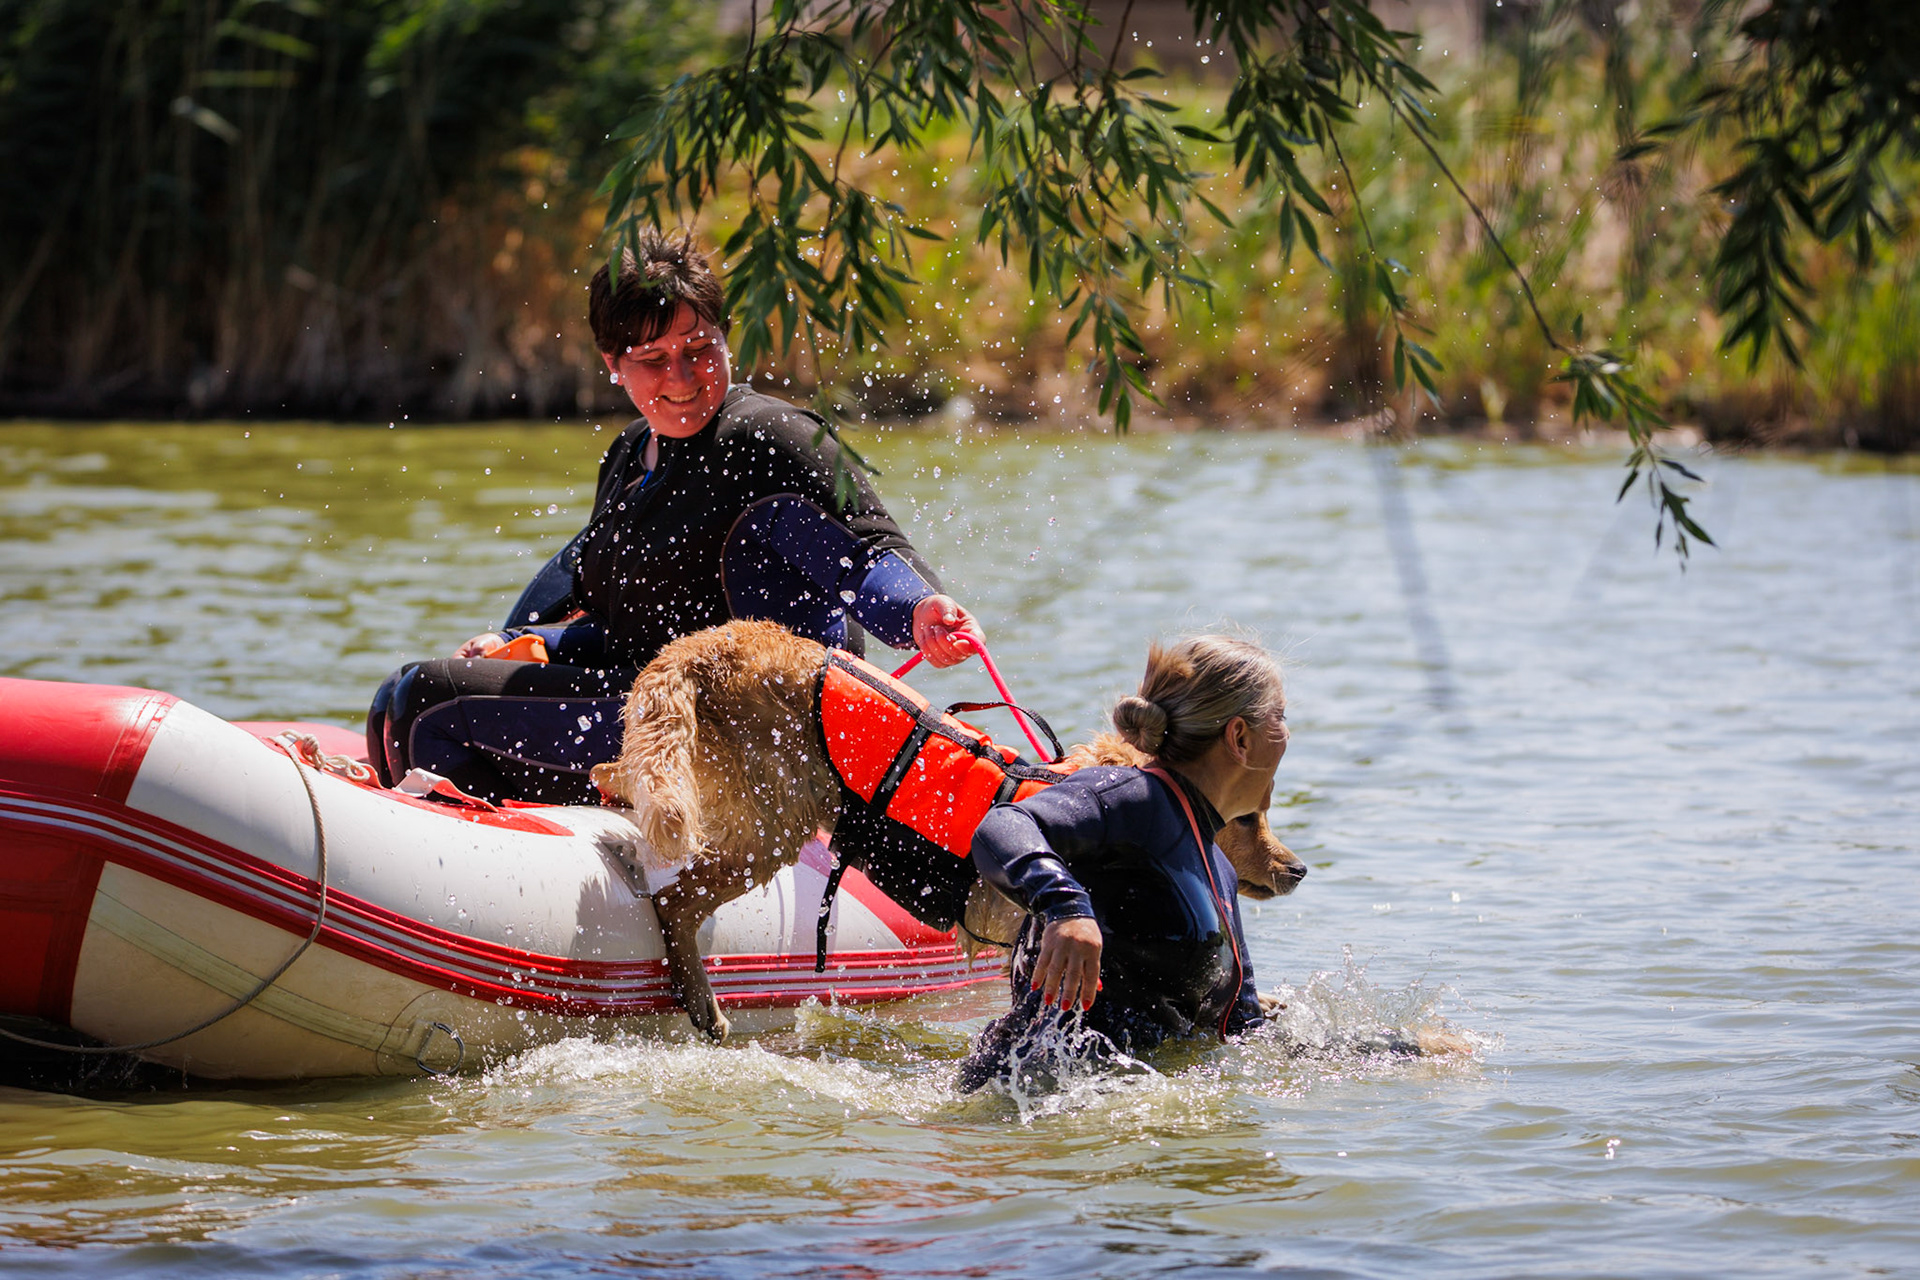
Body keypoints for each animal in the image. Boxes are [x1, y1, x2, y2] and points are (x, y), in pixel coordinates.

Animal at [590, 620, 1308, 1040]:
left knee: (621, 778)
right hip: (773, 821)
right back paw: (703, 1003)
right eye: (1249, 817)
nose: (1298, 869)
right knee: (672, 899)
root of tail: (716, 641)